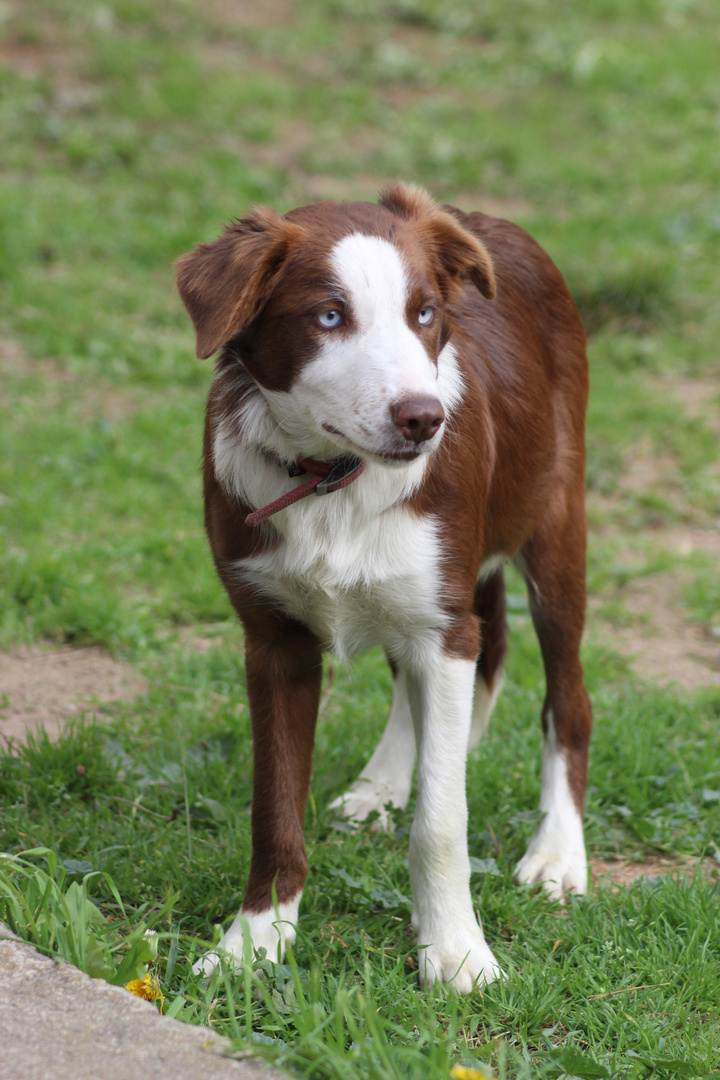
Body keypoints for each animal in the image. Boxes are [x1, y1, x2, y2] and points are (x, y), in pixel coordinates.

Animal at [175, 181, 591, 989]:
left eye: (424, 314)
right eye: (329, 316)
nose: (423, 419)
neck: (330, 479)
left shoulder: (444, 624)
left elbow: (442, 821)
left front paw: (455, 952)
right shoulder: (272, 640)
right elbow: (274, 809)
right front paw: (253, 943)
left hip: (554, 528)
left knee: (567, 701)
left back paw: (557, 852)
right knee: (443, 675)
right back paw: (385, 782)